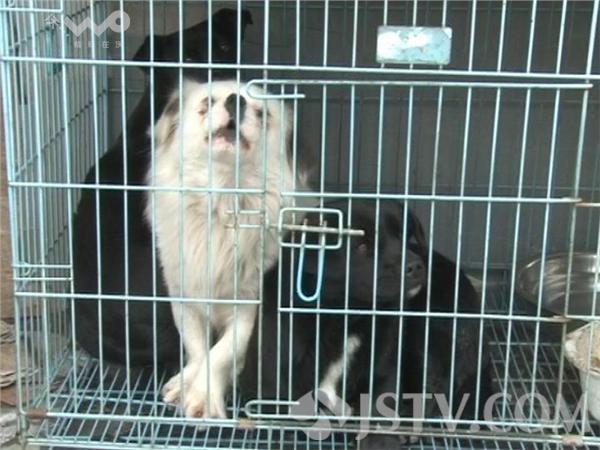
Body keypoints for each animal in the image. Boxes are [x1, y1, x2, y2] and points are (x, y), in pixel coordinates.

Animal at [146, 79, 307, 418]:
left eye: (263, 114)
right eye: (207, 103)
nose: (237, 102)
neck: (222, 198)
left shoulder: (248, 309)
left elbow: (221, 353)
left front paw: (203, 397)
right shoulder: (184, 298)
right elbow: (197, 347)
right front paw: (186, 383)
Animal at [240, 200, 493, 449]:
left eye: (406, 238)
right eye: (361, 246)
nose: (417, 266)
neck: (346, 318)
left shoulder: (384, 374)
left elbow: (378, 413)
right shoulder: (270, 391)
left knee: (435, 387)